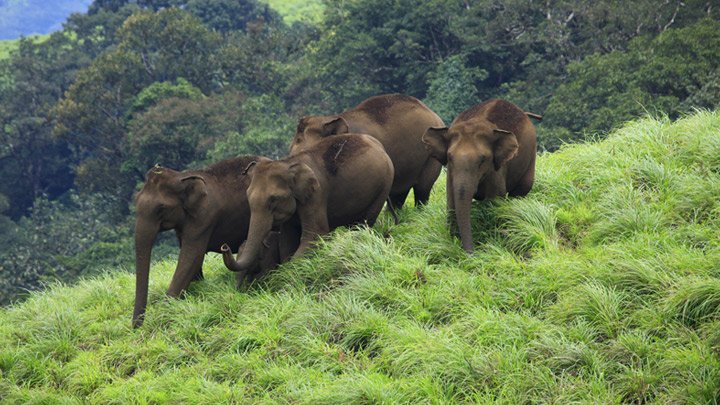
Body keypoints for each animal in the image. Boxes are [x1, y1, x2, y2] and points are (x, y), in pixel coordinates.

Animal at [132, 156, 298, 326]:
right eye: (135, 201)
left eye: (161, 208)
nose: (136, 327)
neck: (181, 176)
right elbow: (192, 260)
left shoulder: (204, 217)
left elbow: (191, 256)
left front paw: (164, 313)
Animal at [224, 133, 394, 272]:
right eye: (248, 197)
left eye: (274, 199)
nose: (224, 246)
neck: (288, 163)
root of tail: (379, 145)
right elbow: (287, 241)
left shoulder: (316, 195)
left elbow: (315, 234)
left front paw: (289, 272)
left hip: (384, 185)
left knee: (364, 222)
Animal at [422, 99, 540, 252]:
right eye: (450, 157)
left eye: (482, 159)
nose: (471, 252)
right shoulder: (452, 172)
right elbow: (451, 199)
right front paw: (453, 241)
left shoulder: (496, 169)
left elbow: (494, 201)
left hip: (531, 155)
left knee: (521, 190)